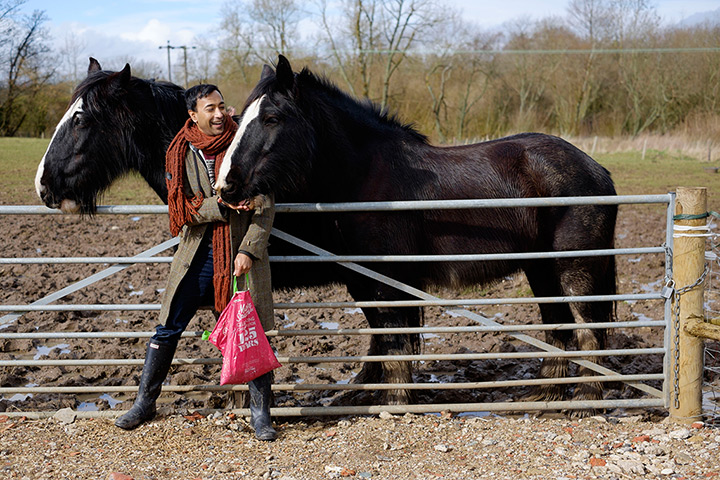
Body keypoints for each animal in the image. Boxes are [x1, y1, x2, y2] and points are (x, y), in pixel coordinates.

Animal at [215, 55, 618, 413]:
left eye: (272, 118)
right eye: (239, 118)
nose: (226, 186)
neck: (366, 176)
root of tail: (596, 169)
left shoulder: (387, 280)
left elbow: (394, 342)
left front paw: (394, 402)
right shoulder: (368, 281)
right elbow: (388, 339)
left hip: (574, 269)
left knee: (588, 328)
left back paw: (585, 400)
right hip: (541, 269)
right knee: (557, 326)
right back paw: (546, 395)